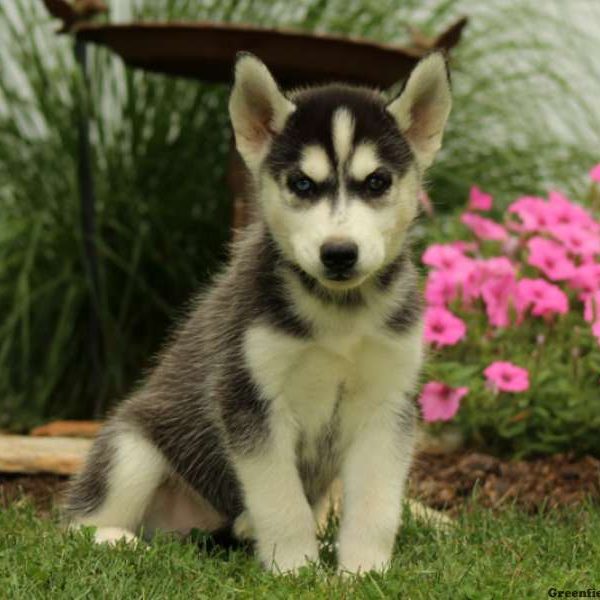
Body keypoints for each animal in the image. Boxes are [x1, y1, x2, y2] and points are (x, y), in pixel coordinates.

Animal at [65, 50, 450, 572]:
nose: (339, 253)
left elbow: (375, 506)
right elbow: (281, 502)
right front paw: (296, 571)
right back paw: (117, 540)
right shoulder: (249, 399)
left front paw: (362, 572)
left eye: (377, 182)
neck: (340, 316)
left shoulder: (388, 405)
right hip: (131, 449)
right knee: (74, 526)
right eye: (302, 183)